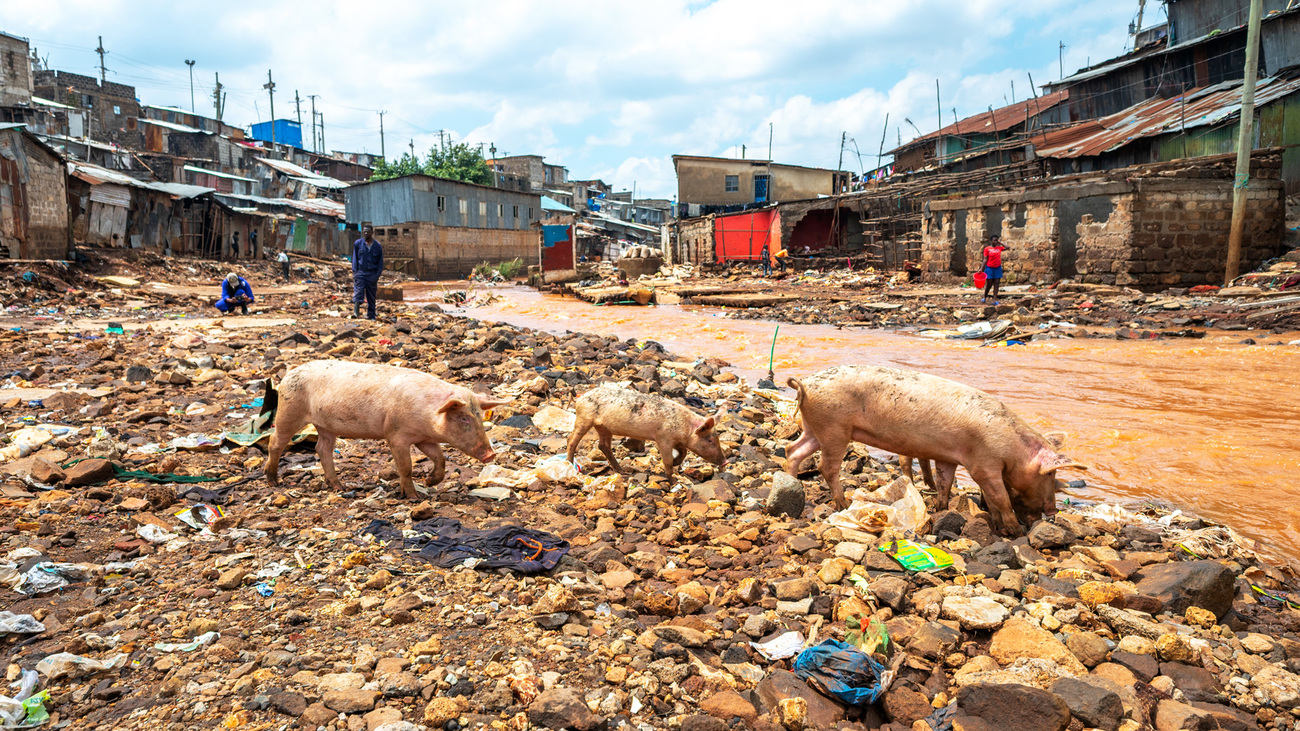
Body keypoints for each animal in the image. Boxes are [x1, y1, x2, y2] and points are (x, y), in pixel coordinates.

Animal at [263, 356, 506, 496]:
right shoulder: (395, 435)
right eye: (464, 418)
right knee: (275, 441)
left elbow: (440, 458)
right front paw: (413, 496)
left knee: (322, 449)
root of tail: (288, 374)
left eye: (479, 416)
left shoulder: (424, 438)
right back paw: (273, 481)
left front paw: (429, 482)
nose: (491, 454)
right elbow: (406, 467)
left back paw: (340, 487)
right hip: (290, 410)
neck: (428, 415)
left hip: (325, 426)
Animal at [564, 382, 728, 478]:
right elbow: (667, 460)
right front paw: (673, 479)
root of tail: (580, 397)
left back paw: (623, 471)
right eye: (710, 440)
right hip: (584, 418)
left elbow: (684, 453)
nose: (725, 462)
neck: (685, 428)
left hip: (603, 427)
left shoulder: (677, 441)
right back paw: (569, 465)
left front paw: (677, 463)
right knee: (571, 440)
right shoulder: (663, 438)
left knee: (603, 445)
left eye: (717, 439)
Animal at [785, 364, 1081, 535]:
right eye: (1050, 475)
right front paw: (1014, 531)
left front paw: (941, 508)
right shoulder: (982, 465)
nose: (1052, 512)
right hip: (834, 427)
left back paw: (790, 483)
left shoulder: (949, 458)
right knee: (825, 466)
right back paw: (843, 503)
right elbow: (999, 497)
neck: (1013, 450)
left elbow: (945, 483)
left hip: (815, 427)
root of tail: (806, 383)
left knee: (793, 449)